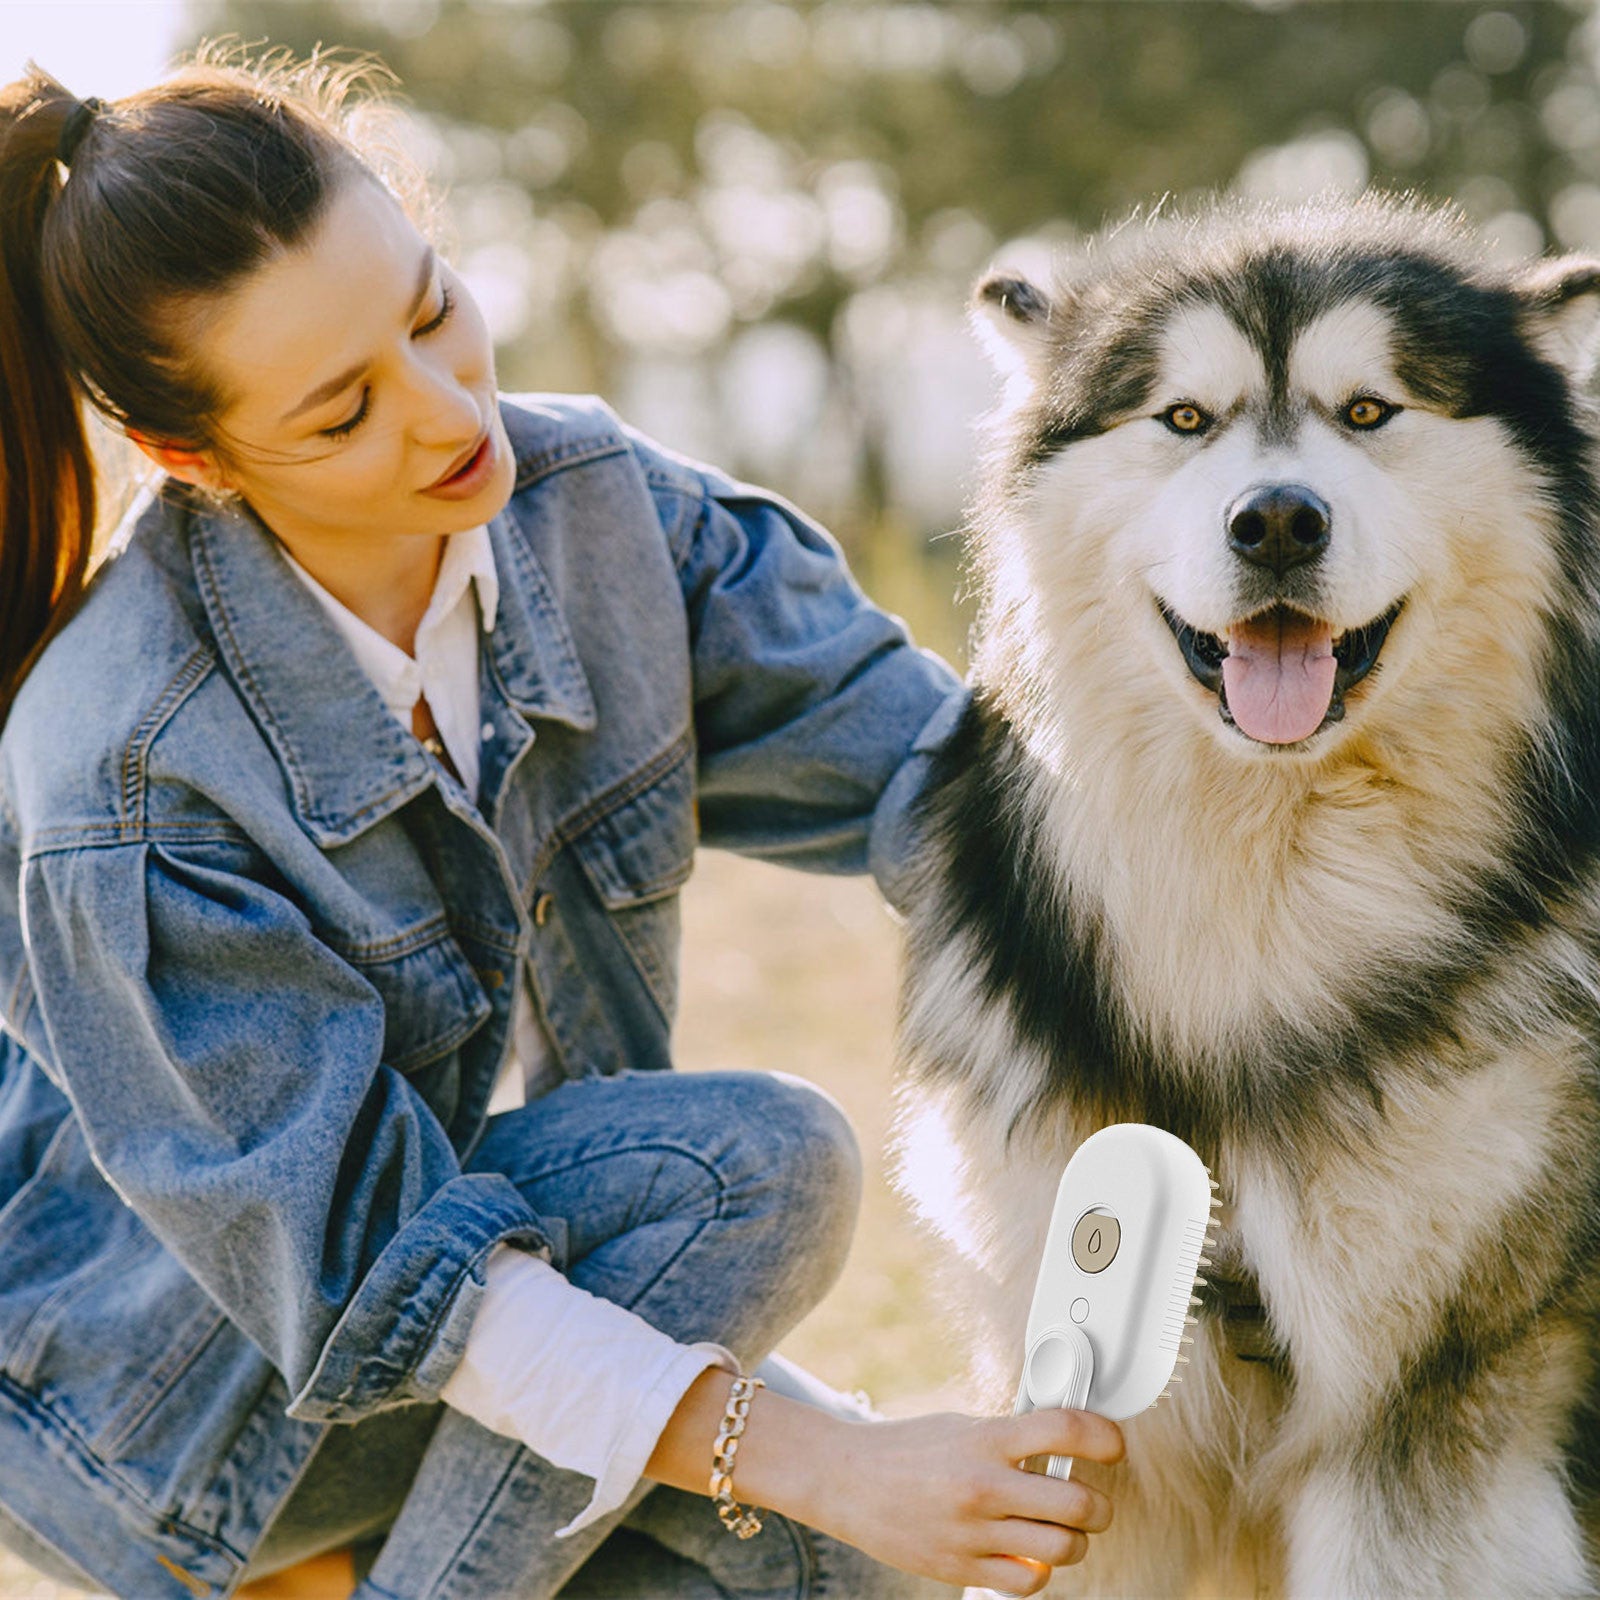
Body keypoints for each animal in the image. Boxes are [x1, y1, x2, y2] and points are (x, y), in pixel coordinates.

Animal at [896, 200, 1600, 1600]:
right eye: (1182, 418)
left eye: (1371, 410)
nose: (1276, 519)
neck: (1269, 890)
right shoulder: (1097, 1423)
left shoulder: (1431, 1427)